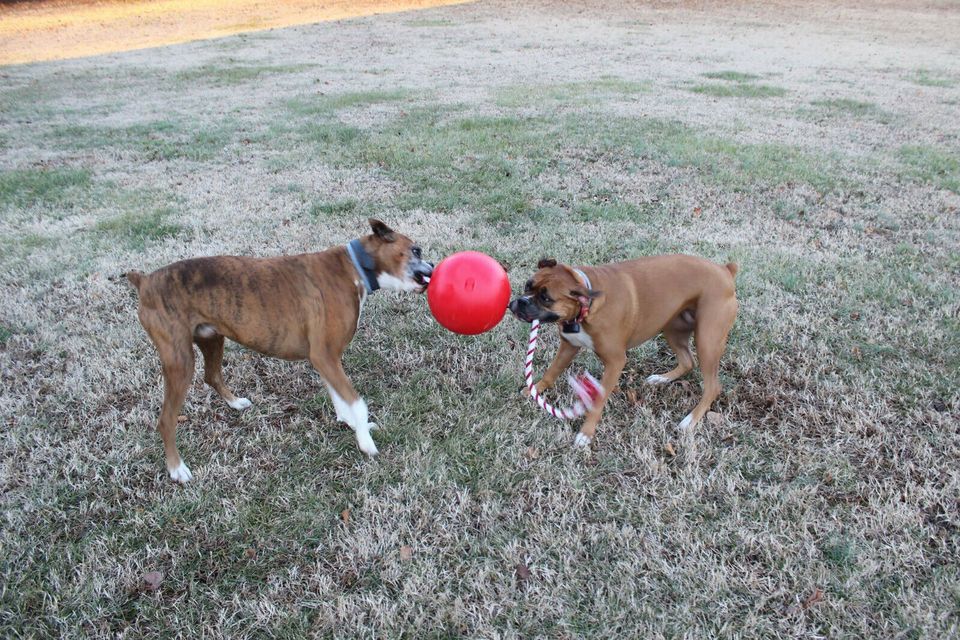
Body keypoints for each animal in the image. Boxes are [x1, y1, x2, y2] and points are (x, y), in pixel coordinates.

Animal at [125, 219, 434, 480]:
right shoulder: (325, 357)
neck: (355, 267)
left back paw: (235, 403)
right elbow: (356, 402)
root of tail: (145, 280)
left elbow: (340, 399)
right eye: (415, 250)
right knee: (166, 420)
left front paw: (351, 425)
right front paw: (366, 443)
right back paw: (177, 469)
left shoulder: (326, 360)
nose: (432, 263)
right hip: (180, 361)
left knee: (211, 376)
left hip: (212, 339)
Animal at [506, 254, 740, 444]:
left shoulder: (615, 362)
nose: (519, 302)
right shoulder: (569, 346)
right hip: (673, 328)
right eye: (528, 285)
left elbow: (598, 400)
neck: (585, 308)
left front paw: (586, 433)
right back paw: (661, 379)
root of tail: (725, 270)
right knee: (687, 361)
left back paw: (690, 420)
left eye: (546, 298)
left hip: (707, 341)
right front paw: (534, 390)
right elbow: (551, 372)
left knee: (712, 386)